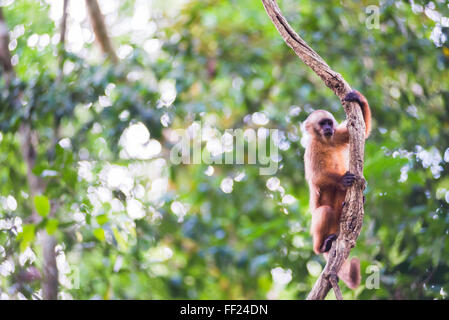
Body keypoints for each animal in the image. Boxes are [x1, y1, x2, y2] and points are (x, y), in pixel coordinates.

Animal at [304, 90, 372, 290]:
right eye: (322, 123)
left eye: (329, 122)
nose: (328, 128)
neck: (325, 141)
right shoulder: (311, 148)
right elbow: (317, 177)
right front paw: (343, 179)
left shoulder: (336, 136)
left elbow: (362, 131)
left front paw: (358, 98)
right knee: (325, 211)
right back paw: (321, 247)